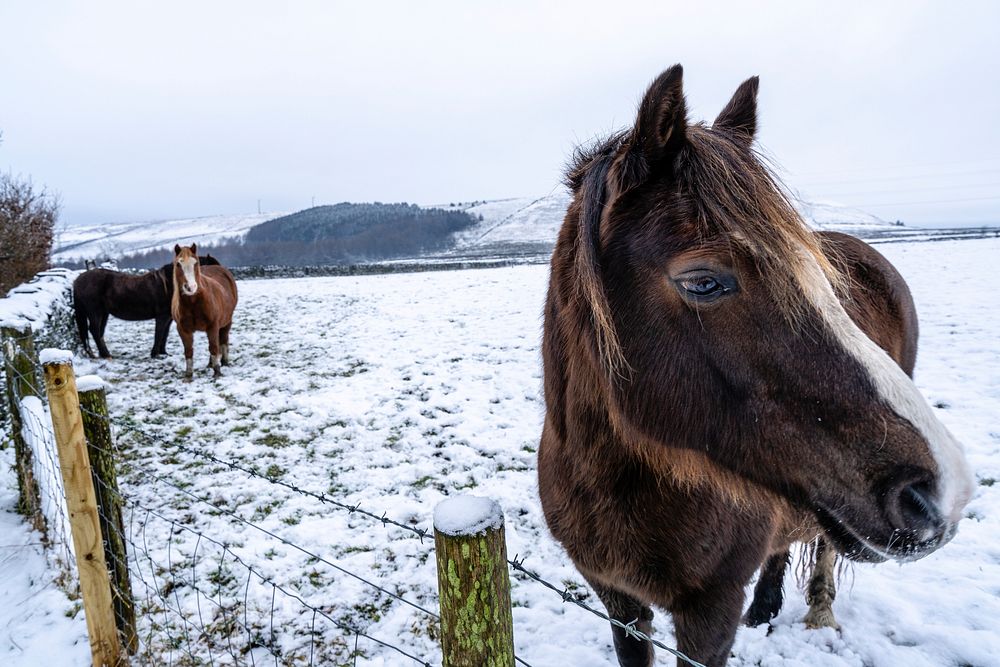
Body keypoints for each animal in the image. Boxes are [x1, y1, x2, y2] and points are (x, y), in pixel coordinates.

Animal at [73, 256, 221, 360]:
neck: (168, 284)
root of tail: (78, 279)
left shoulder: (168, 318)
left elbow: (164, 335)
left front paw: (163, 353)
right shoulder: (161, 317)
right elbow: (159, 334)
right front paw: (155, 354)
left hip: (104, 313)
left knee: (98, 332)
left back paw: (101, 354)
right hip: (95, 312)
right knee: (94, 330)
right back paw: (106, 354)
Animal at [171, 244, 237, 380]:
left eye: (195, 263)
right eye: (178, 264)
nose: (190, 287)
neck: (193, 302)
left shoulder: (213, 326)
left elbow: (214, 347)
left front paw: (217, 372)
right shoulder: (183, 330)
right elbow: (188, 351)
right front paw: (188, 375)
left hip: (227, 322)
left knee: (223, 340)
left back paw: (224, 362)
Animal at [536, 66, 972, 667]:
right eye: (703, 281)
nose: (942, 493)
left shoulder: (709, 615)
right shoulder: (618, 602)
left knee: (822, 548)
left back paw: (816, 612)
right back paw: (765, 607)